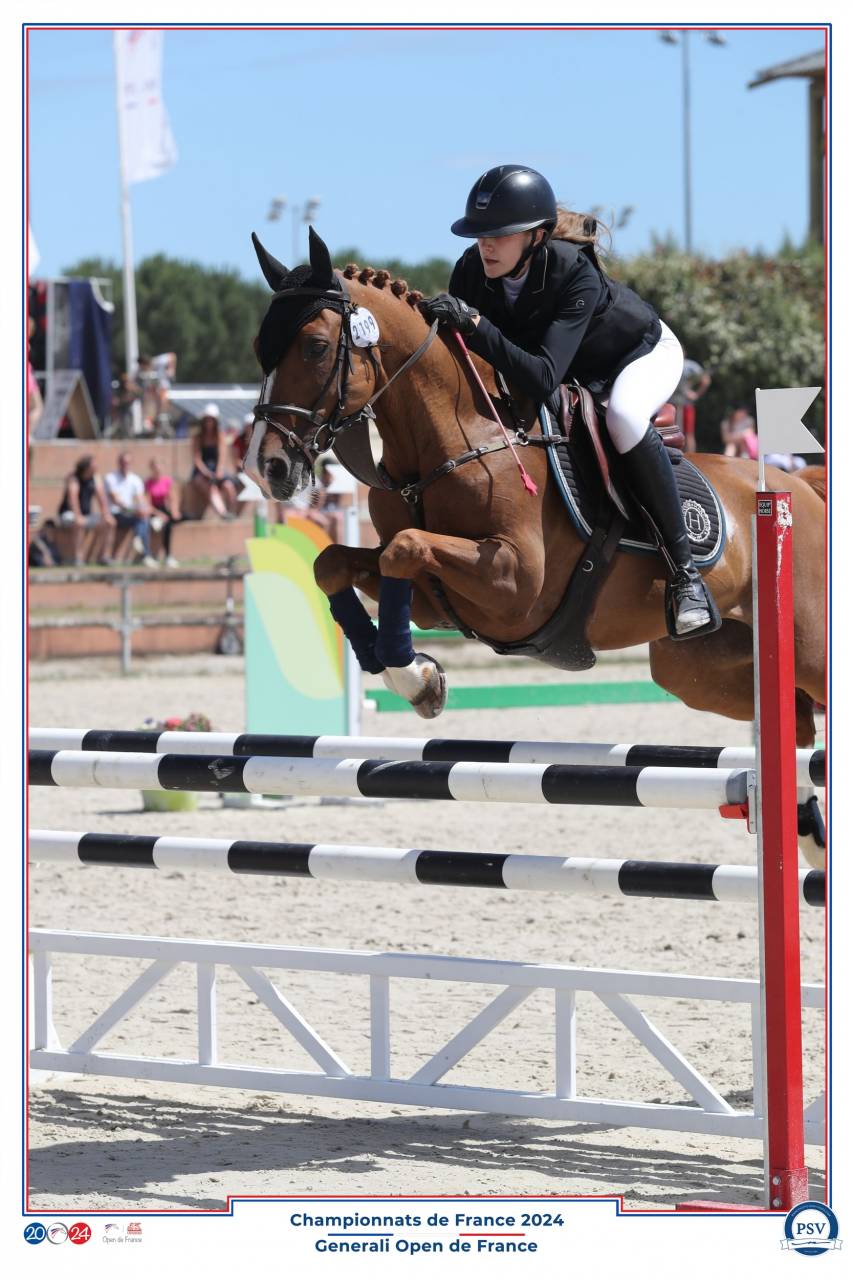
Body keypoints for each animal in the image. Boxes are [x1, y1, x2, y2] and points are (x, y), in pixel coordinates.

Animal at [244, 229, 826, 863]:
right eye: (261, 348)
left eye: (316, 347)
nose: (267, 468)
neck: (457, 439)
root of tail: (801, 489)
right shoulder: (440, 600)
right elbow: (338, 563)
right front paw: (407, 669)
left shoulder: (513, 585)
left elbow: (406, 546)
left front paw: (415, 678)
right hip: (699, 670)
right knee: (797, 730)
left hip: (809, 648)